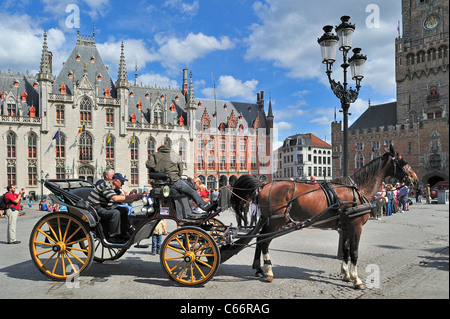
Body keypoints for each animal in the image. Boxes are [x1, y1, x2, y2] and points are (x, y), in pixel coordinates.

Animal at [232, 147, 418, 290]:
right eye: (402, 162)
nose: (415, 179)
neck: (357, 190)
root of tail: (265, 185)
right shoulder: (356, 226)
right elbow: (354, 252)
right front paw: (357, 279)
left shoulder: (346, 227)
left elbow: (346, 251)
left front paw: (346, 274)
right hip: (277, 221)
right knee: (264, 242)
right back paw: (269, 272)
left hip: (269, 220)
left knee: (259, 239)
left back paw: (259, 269)